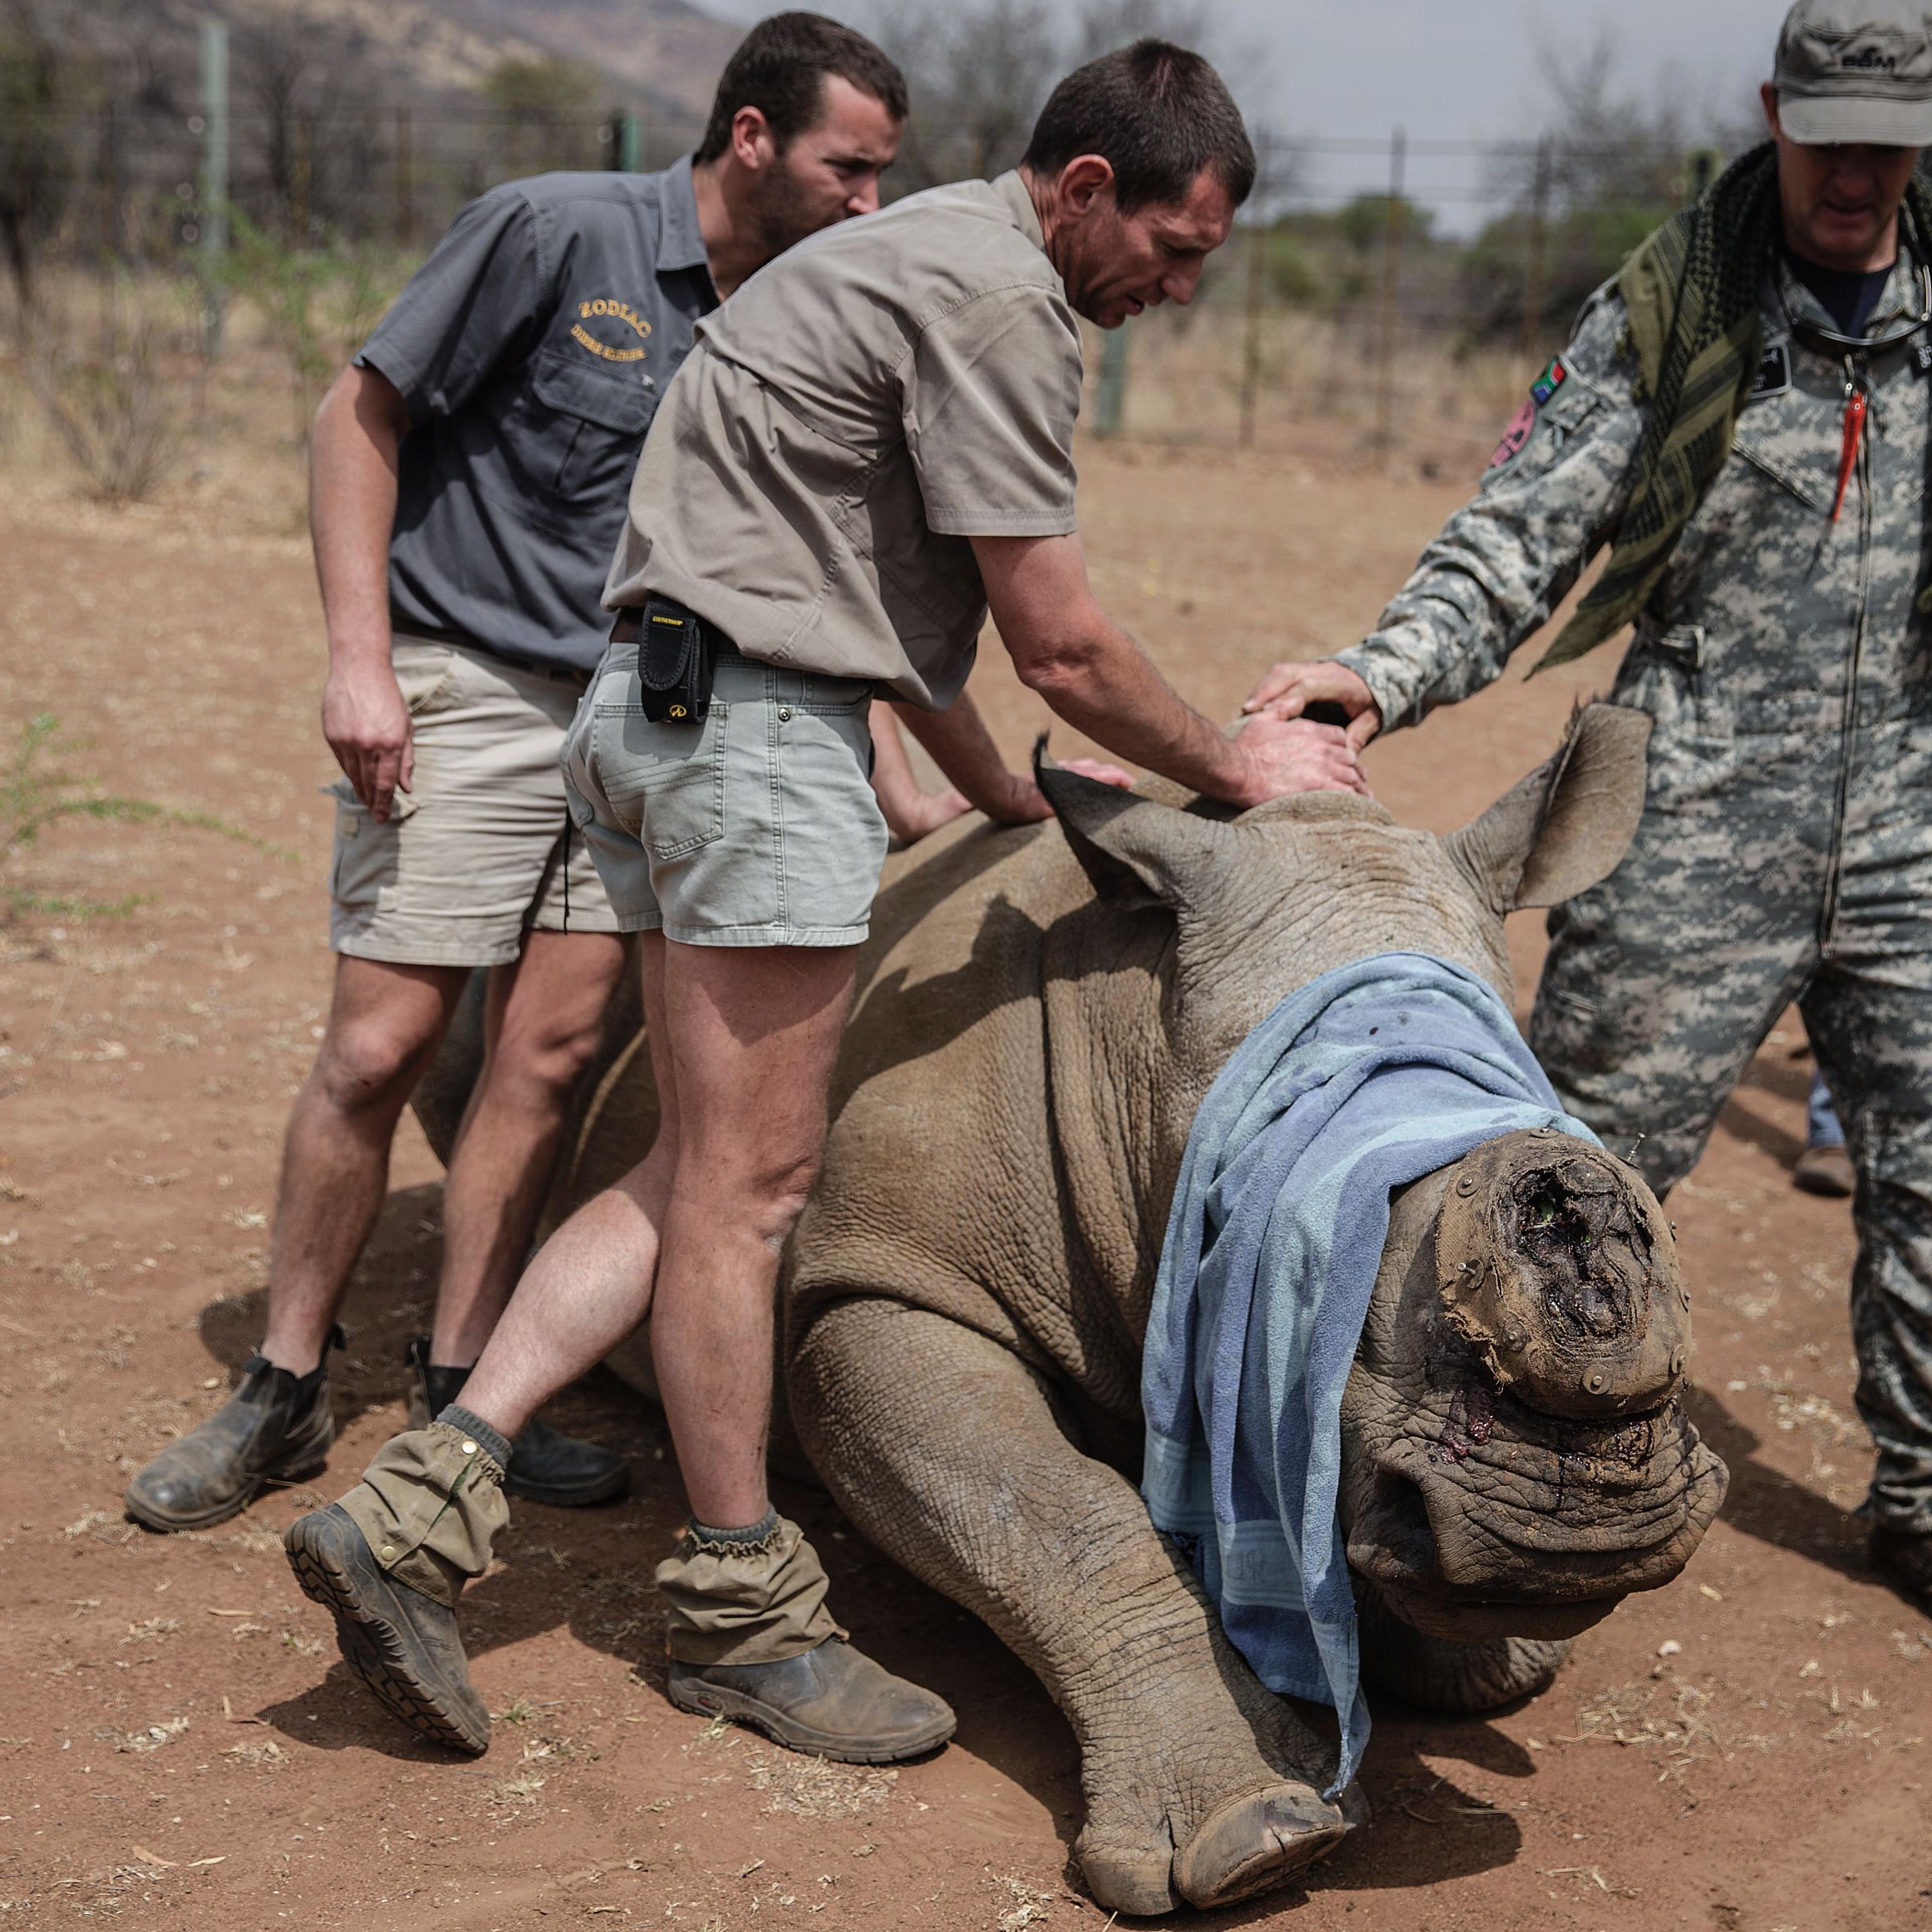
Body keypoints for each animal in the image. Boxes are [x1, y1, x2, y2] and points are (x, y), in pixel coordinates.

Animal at [414, 702, 1727, 1916]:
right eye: (1308, 1256)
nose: (1577, 1533)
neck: (1139, 1044)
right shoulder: (882, 1278)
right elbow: (1059, 1513)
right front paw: (1253, 1837)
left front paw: (1490, 1663)